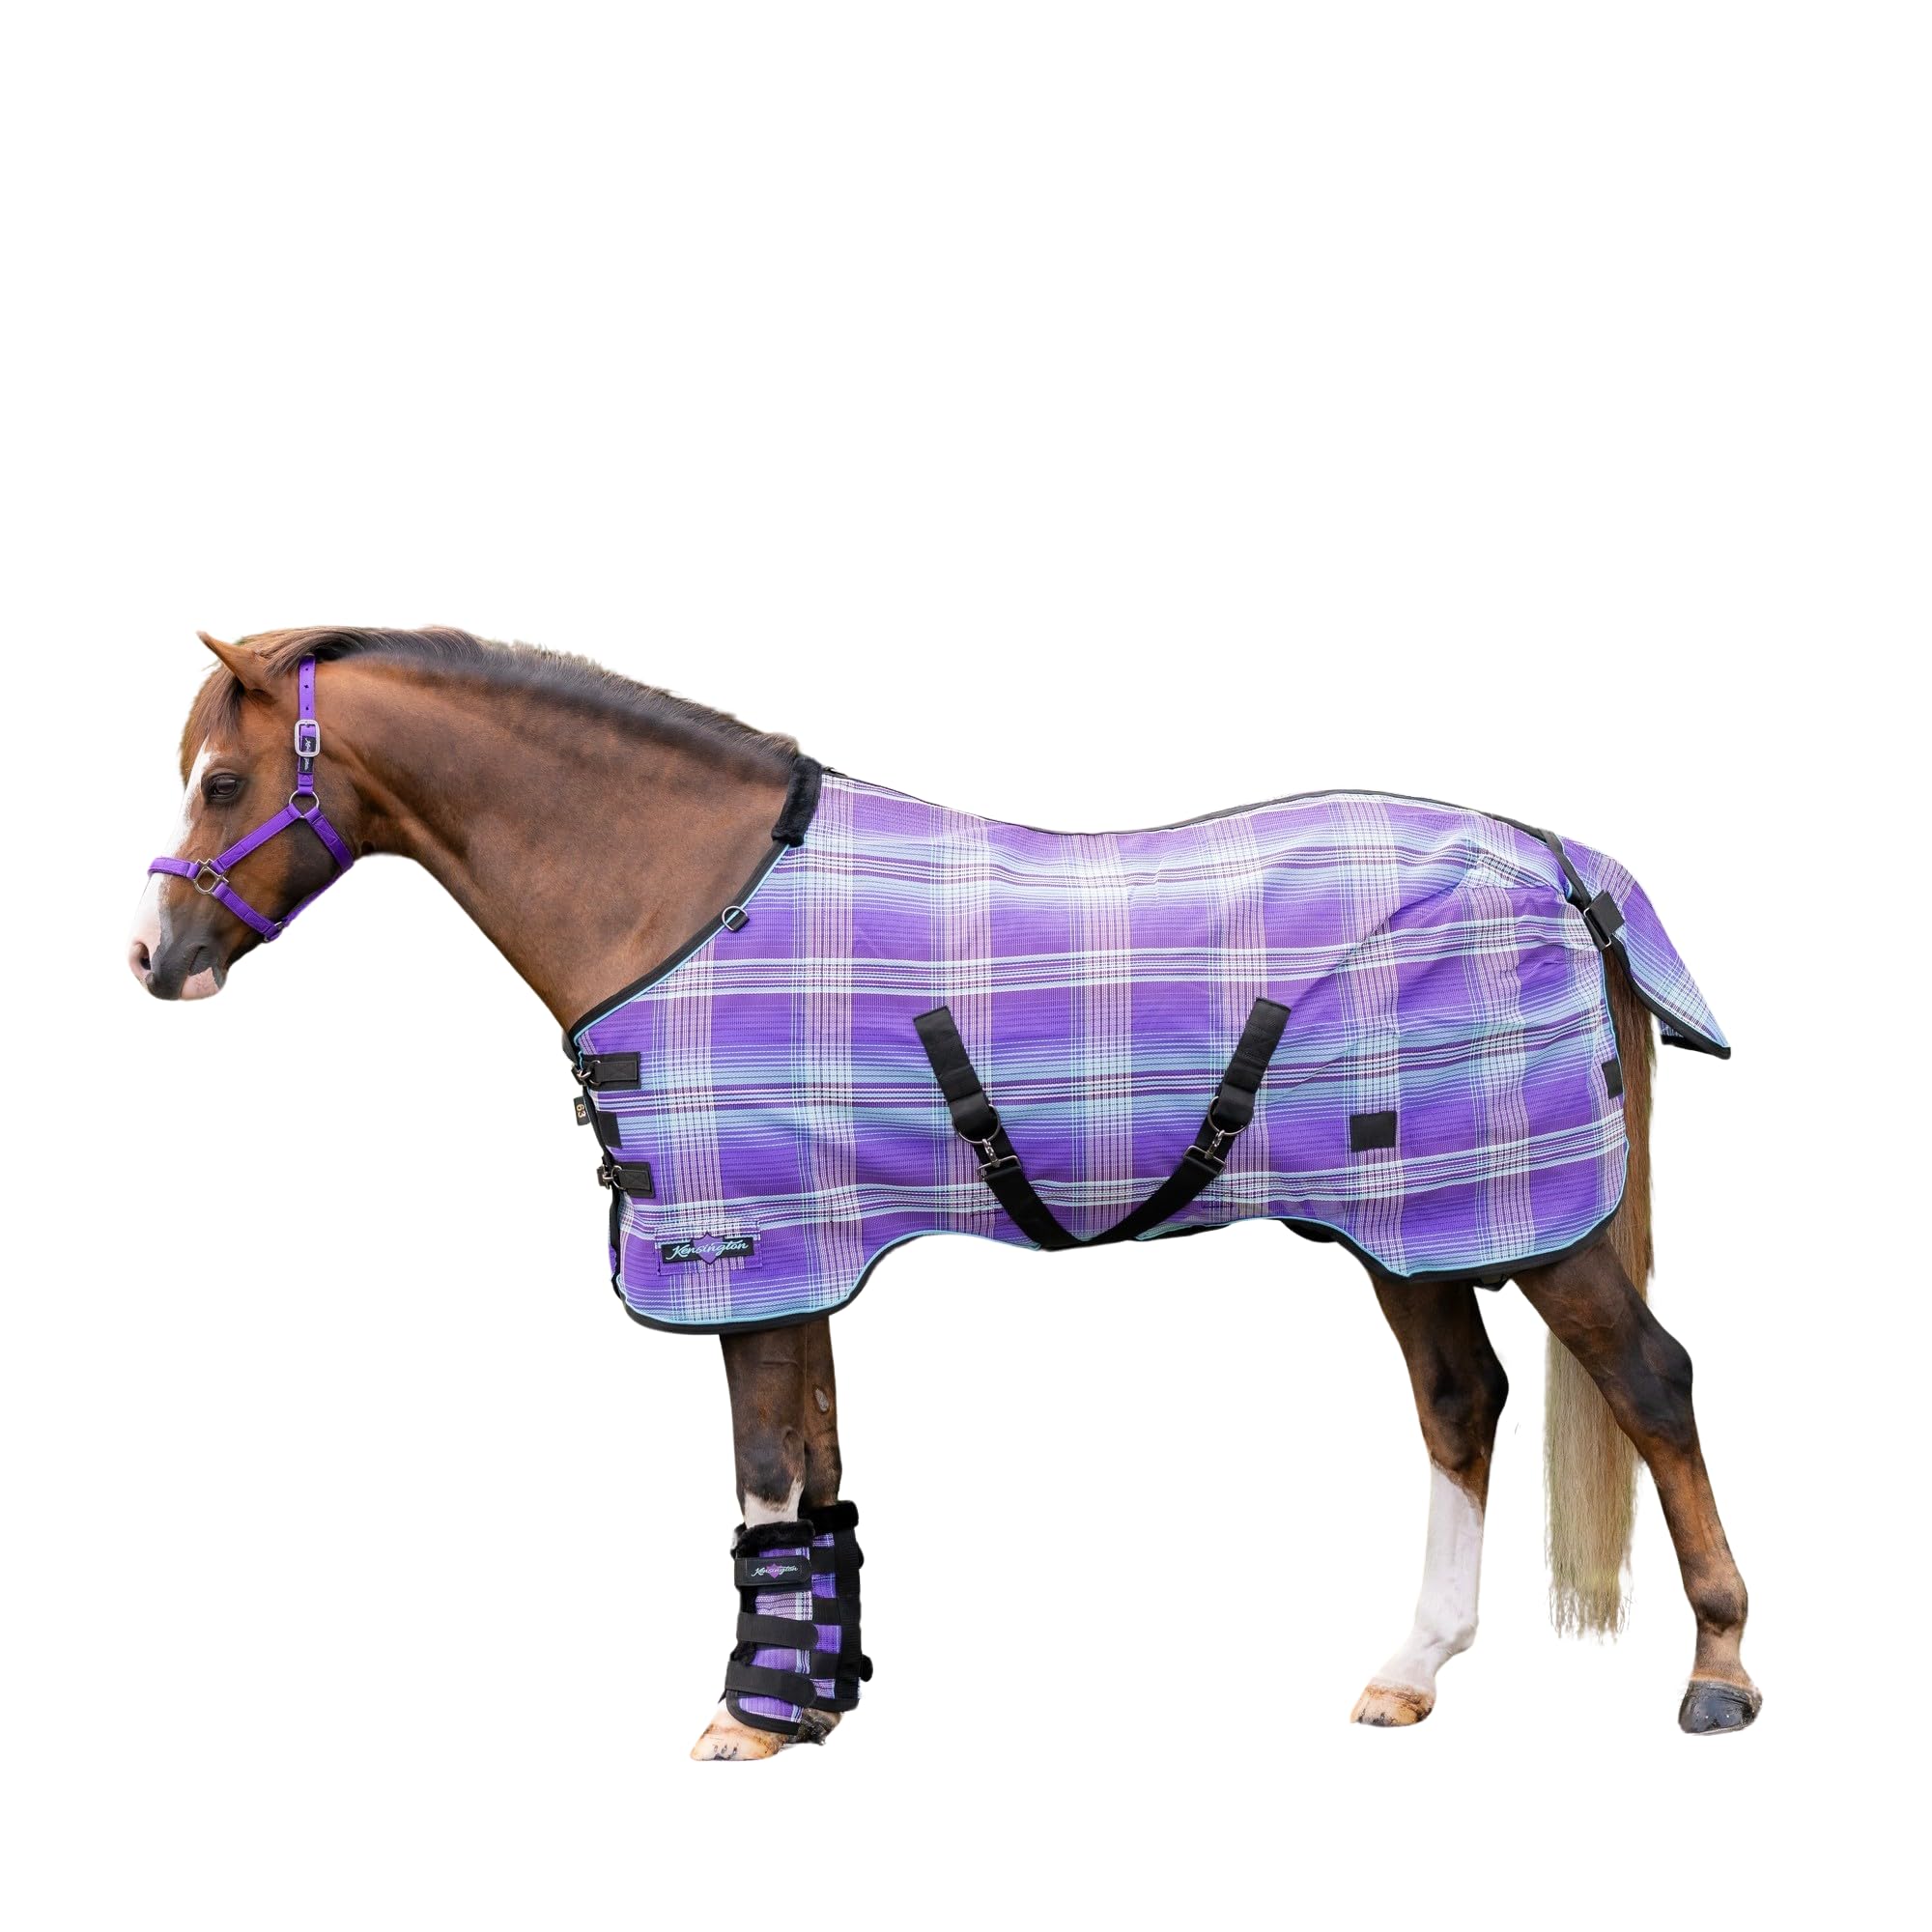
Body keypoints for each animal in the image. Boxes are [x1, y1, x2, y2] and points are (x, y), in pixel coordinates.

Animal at [130, 626, 1760, 1756]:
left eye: (224, 780)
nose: (155, 960)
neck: (681, 892)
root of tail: (1560, 863)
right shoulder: (805, 1260)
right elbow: (819, 1472)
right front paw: (813, 1696)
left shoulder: (744, 1256)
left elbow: (765, 1474)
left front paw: (748, 1720)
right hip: (1415, 1226)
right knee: (1461, 1402)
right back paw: (1409, 1673)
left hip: (1529, 1231)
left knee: (1652, 1383)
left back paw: (1720, 1675)